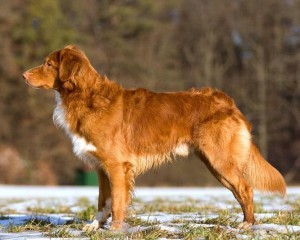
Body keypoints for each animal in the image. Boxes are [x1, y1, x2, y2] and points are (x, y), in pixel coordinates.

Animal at [23, 45, 286, 231]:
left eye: (48, 63)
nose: (24, 74)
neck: (85, 97)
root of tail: (228, 102)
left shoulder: (117, 166)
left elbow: (117, 202)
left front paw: (115, 229)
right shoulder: (101, 168)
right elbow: (102, 202)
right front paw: (95, 226)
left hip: (220, 161)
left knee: (245, 188)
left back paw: (247, 225)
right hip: (215, 165)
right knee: (239, 190)